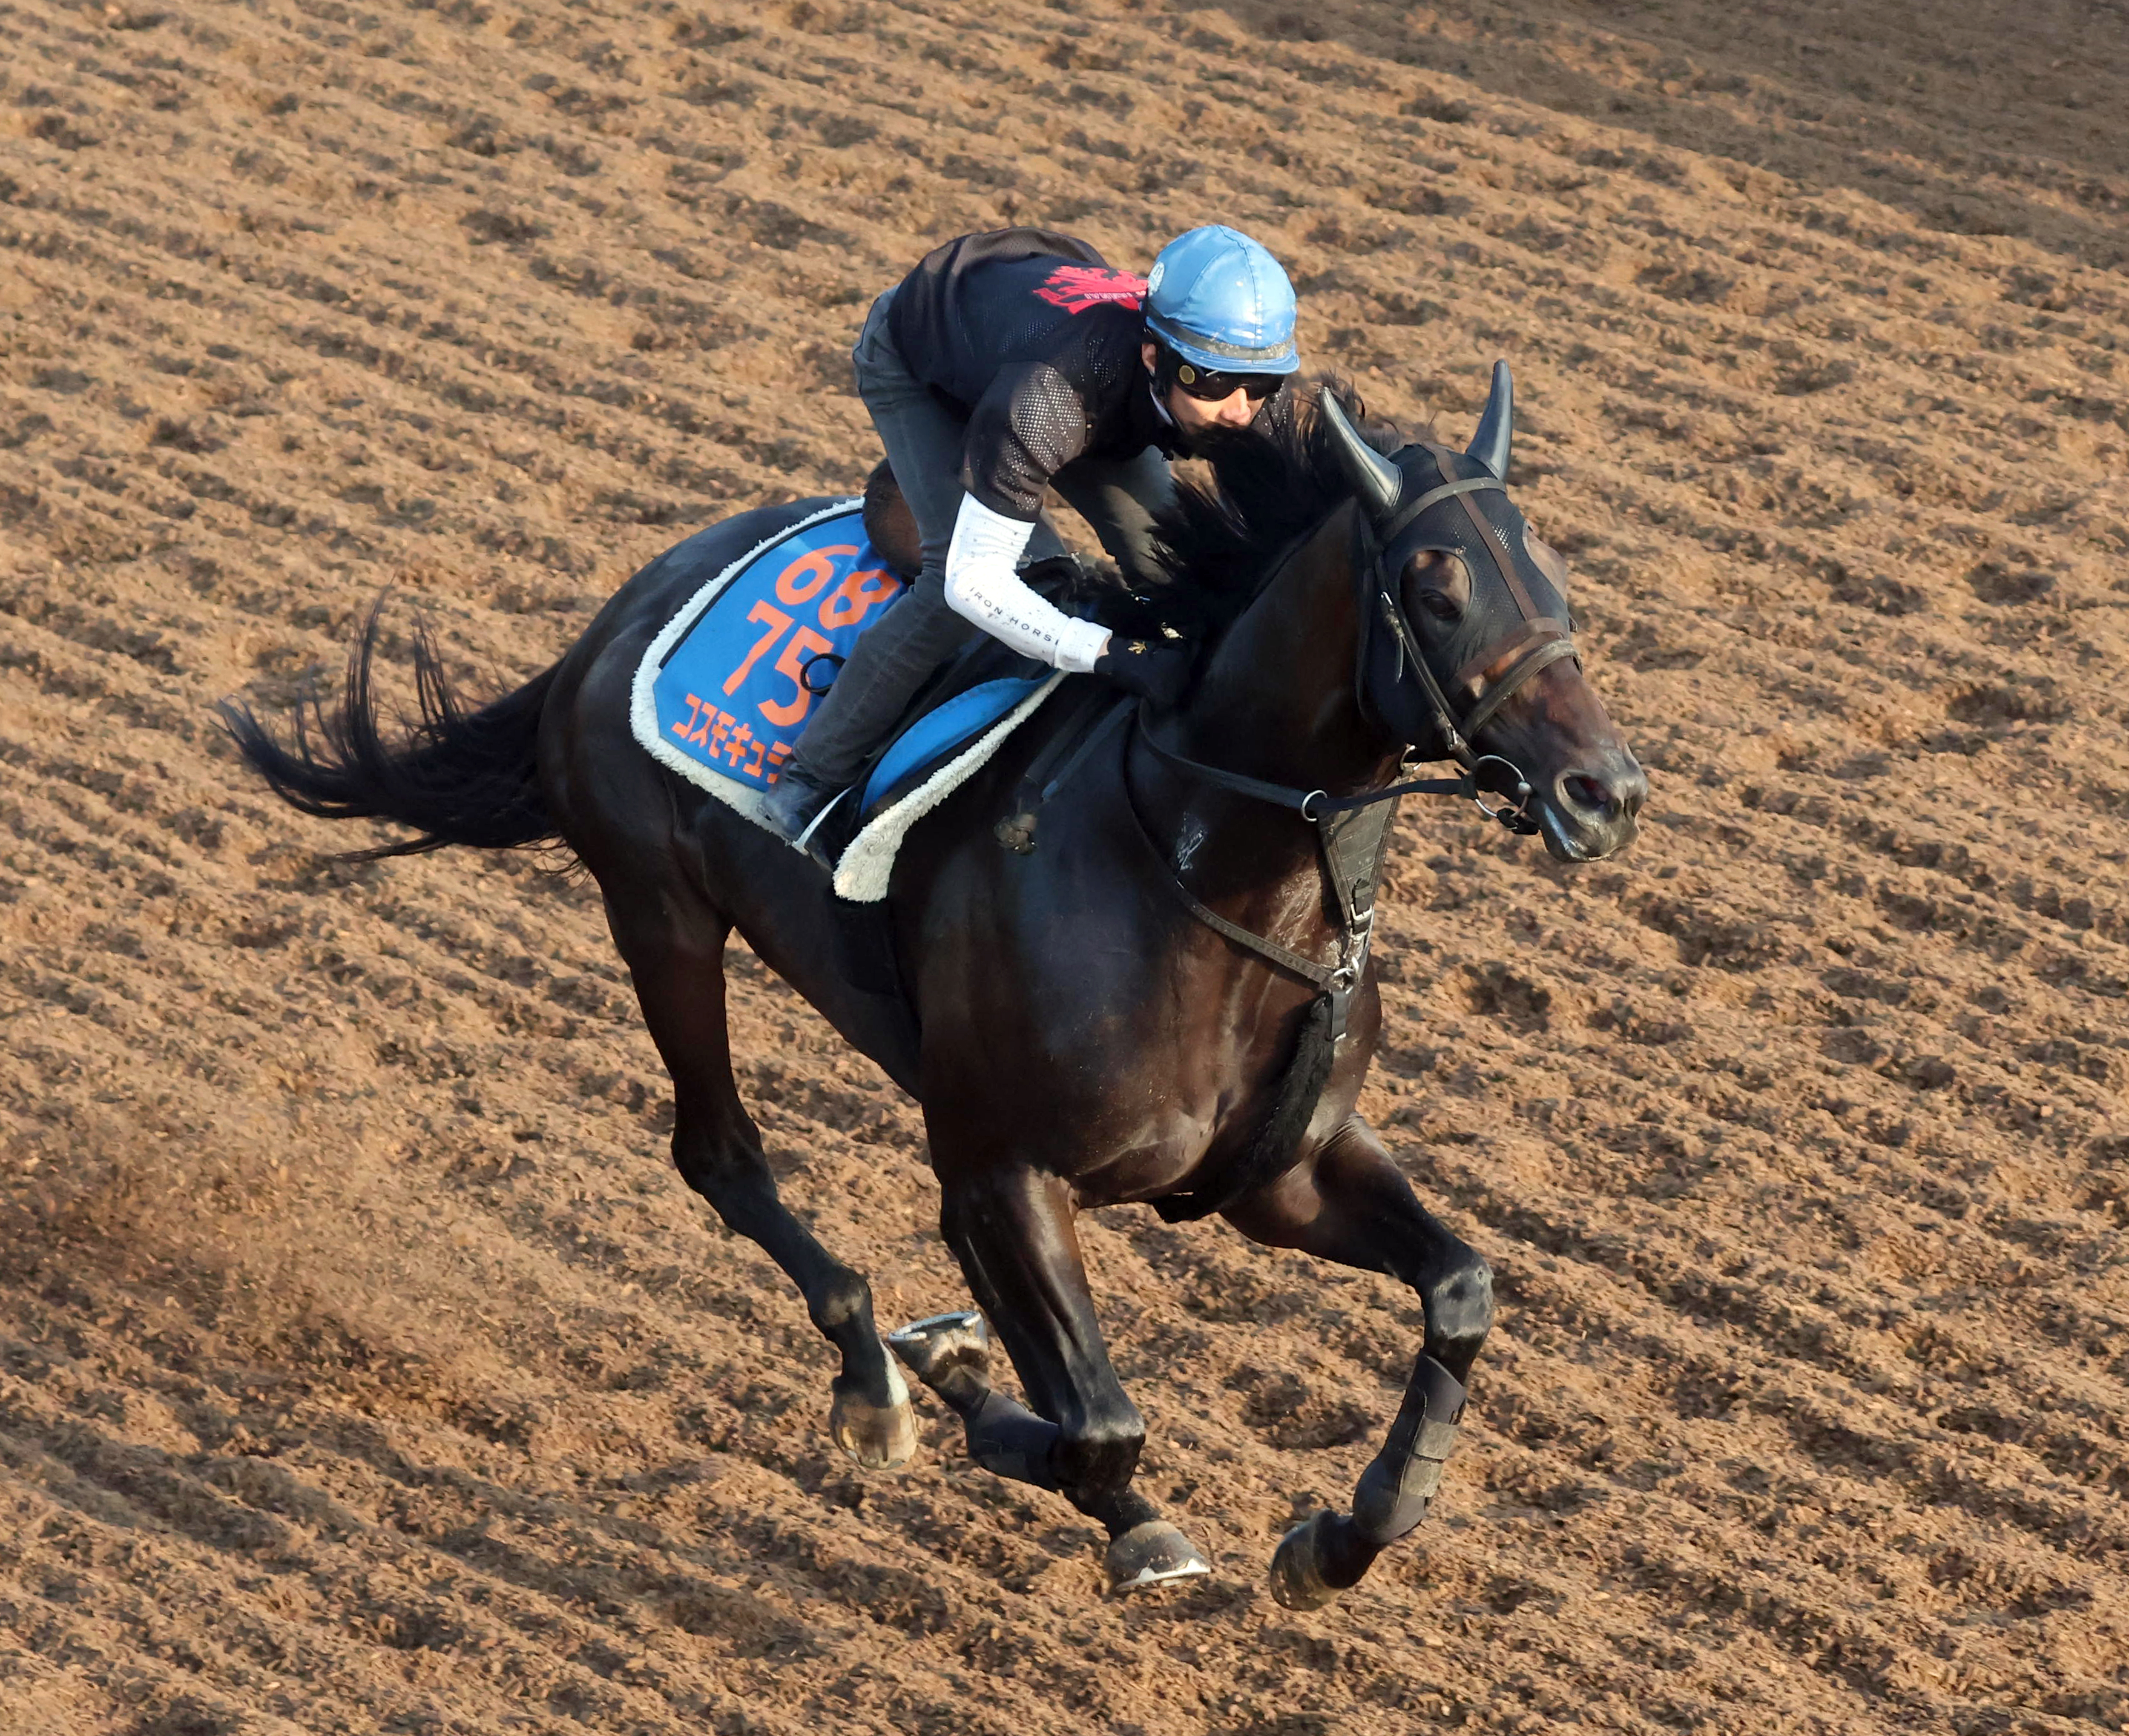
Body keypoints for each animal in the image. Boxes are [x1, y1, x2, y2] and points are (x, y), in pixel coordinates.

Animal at [224, 369, 1646, 1609]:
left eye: (1551, 574)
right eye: (1434, 588)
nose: (1604, 790)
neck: (1202, 882)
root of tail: (624, 605)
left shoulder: (1271, 1174)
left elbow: (1459, 1289)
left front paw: (1341, 1538)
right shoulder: (996, 1160)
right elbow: (1099, 1425)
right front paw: (992, 1407)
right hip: (660, 914)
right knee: (721, 1156)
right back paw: (873, 1377)